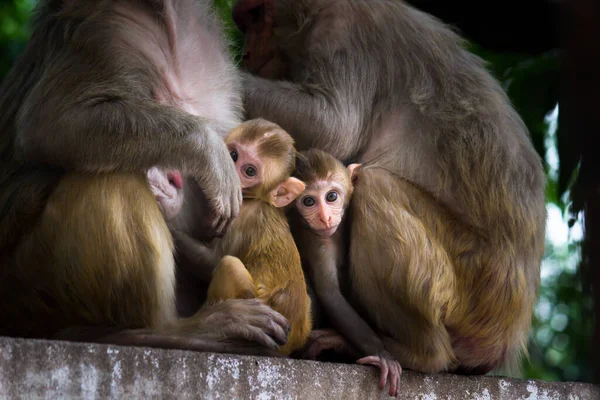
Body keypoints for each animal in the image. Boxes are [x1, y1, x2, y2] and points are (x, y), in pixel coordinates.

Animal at [0, 0, 290, 356]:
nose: (169, 180)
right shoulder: (103, 32)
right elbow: (52, 123)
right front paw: (209, 151)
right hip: (30, 285)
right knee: (114, 175)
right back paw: (164, 331)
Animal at [290, 150, 400, 396]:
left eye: (331, 196)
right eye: (309, 201)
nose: (324, 217)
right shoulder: (318, 242)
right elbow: (329, 293)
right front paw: (382, 353)